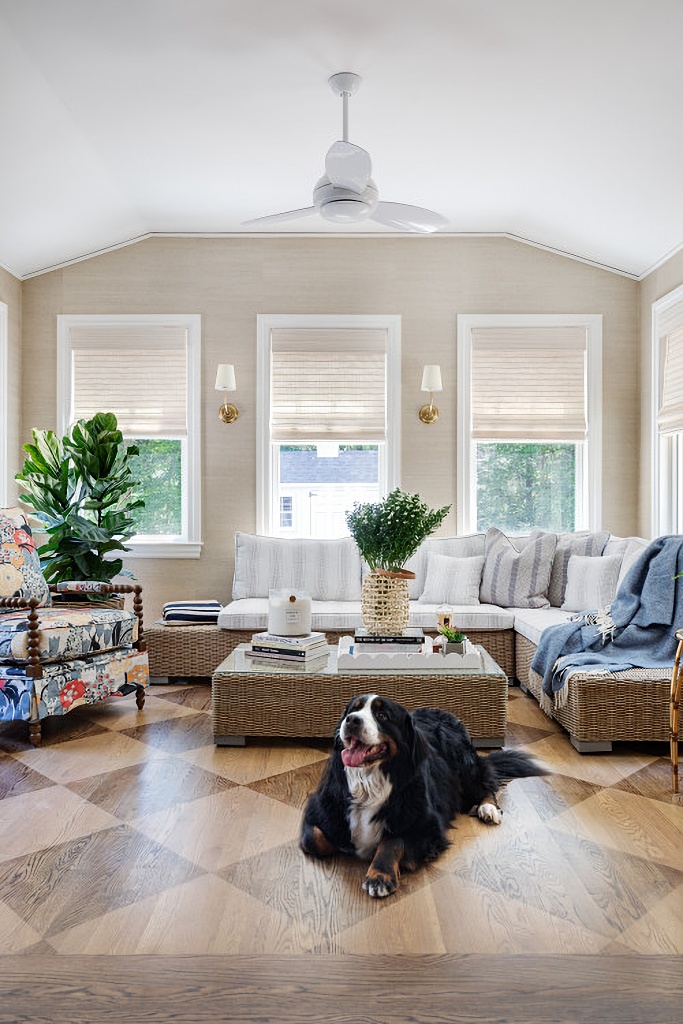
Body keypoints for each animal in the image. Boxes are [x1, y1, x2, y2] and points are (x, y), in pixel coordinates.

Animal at [301, 696, 548, 897]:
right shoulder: (320, 808)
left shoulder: (427, 825)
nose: (351, 720)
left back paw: (487, 808)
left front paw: (380, 875)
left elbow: (393, 840)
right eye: (352, 709)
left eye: (382, 715)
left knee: (485, 783)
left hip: (464, 764)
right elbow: (313, 839)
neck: (370, 781)